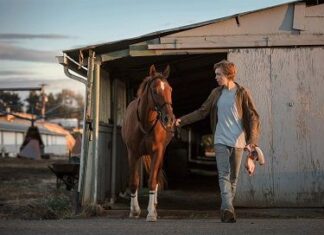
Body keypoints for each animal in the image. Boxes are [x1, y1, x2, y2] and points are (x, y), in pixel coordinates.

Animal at [122, 64, 175, 222]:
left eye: (170, 89)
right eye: (155, 90)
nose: (169, 119)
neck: (145, 123)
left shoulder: (157, 152)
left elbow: (152, 181)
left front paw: (151, 213)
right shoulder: (133, 154)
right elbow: (134, 182)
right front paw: (134, 210)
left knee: (156, 177)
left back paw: (155, 206)